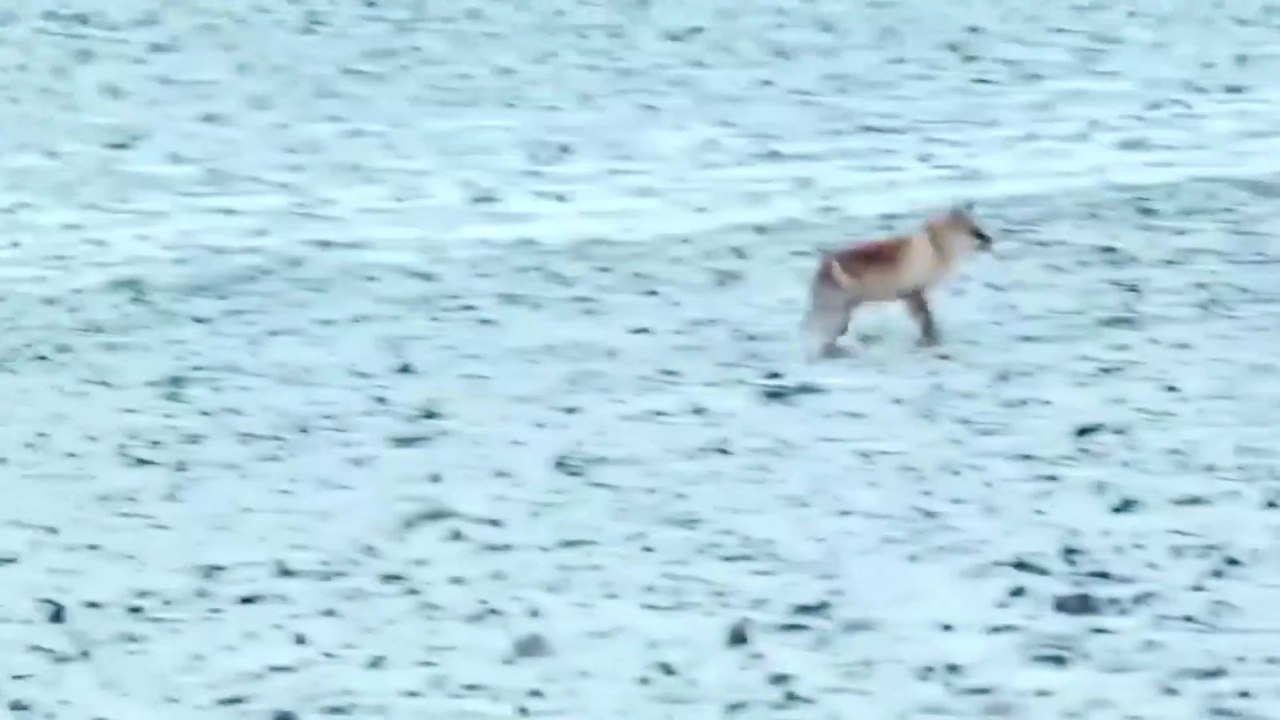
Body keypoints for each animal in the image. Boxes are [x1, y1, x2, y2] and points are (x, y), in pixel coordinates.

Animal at [803, 204, 993, 359]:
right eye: (975, 232)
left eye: (979, 229)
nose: (990, 240)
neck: (936, 248)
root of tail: (823, 265)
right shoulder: (912, 291)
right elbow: (927, 320)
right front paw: (930, 340)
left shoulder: (911, 294)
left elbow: (926, 321)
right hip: (836, 315)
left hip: (841, 316)